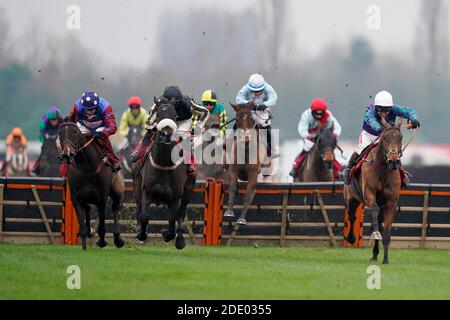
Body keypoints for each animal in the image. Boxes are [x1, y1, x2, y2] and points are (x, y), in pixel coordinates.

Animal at [58, 120, 125, 250]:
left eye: (75, 132)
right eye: (60, 133)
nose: (67, 154)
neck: (87, 168)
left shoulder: (102, 198)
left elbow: (102, 225)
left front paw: (102, 242)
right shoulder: (76, 198)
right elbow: (82, 226)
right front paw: (84, 247)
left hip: (117, 189)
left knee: (115, 207)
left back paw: (117, 238)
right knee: (88, 208)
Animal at [134, 97, 196, 250]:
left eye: (174, 115)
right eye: (159, 115)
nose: (166, 135)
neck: (164, 163)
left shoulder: (175, 198)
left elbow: (173, 221)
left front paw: (167, 234)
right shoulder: (146, 191)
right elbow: (144, 216)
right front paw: (141, 235)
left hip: (188, 190)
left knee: (180, 215)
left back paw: (180, 240)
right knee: (139, 210)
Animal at [344, 121, 408, 264]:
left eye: (400, 137)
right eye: (384, 138)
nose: (393, 160)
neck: (383, 169)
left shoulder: (391, 203)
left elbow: (386, 232)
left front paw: (385, 260)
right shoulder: (369, 194)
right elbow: (374, 211)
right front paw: (375, 233)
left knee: (378, 221)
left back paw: (374, 254)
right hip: (351, 198)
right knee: (352, 216)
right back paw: (351, 238)